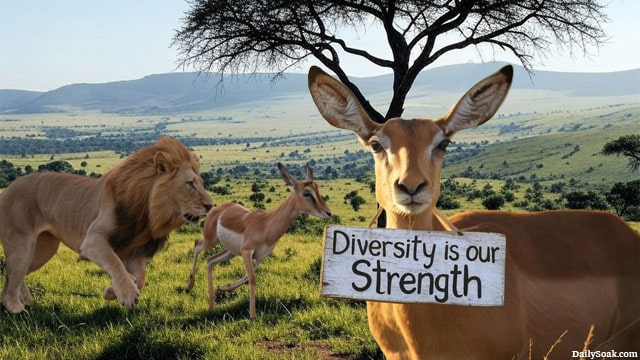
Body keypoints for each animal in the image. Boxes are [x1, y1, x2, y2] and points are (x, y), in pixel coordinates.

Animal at [0, 136, 215, 314]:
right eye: (190, 184)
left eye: (202, 183)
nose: (210, 205)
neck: (148, 215)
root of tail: (8, 189)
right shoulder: (93, 240)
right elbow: (114, 262)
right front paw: (127, 292)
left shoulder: (136, 252)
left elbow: (141, 277)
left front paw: (113, 292)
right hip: (22, 247)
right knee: (12, 276)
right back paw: (16, 308)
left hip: (45, 248)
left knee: (14, 276)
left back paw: (26, 301)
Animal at [185, 162, 330, 320]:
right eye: (307, 193)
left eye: (318, 190)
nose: (328, 213)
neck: (266, 225)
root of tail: (216, 210)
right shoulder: (246, 251)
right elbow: (252, 278)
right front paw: (253, 315)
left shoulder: (260, 257)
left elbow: (247, 277)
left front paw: (224, 287)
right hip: (211, 240)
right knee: (197, 245)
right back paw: (189, 286)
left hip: (230, 252)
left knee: (210, 261)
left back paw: (212, 307)